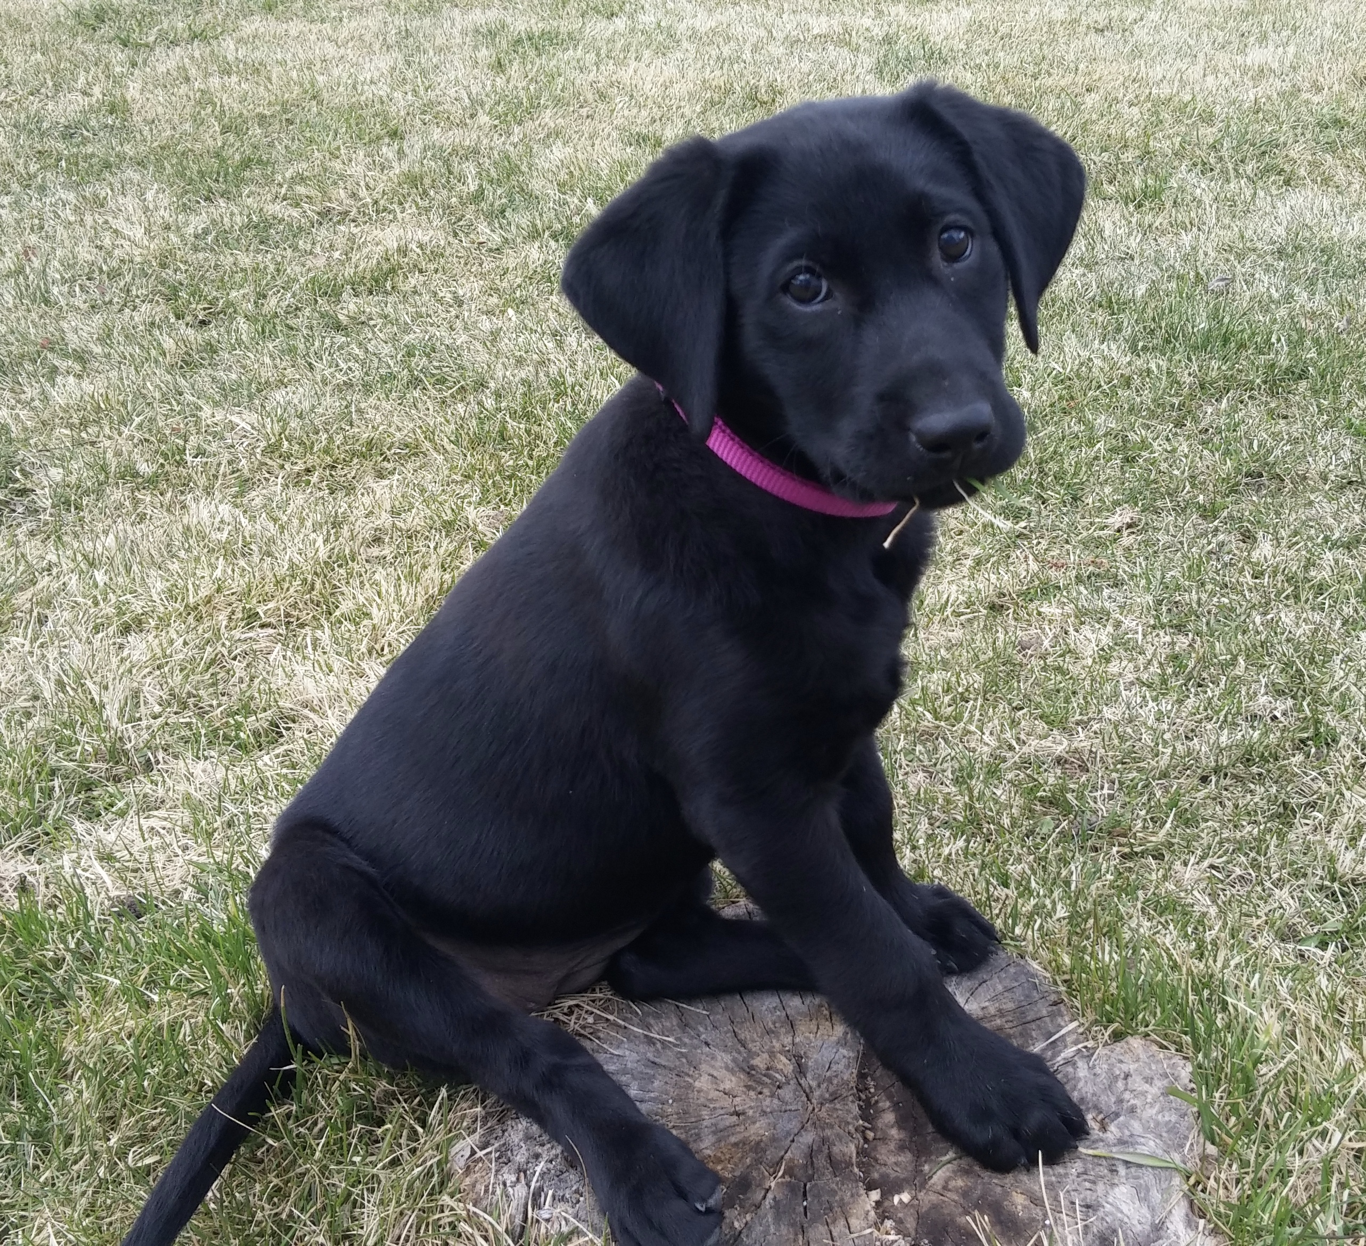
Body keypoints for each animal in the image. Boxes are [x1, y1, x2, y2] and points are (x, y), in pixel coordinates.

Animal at [125, 80, 1087, 1246]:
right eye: (803, 287)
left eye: (956, 241)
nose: (958, 431)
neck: (773, 500)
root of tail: (285, 1004)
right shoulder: (756, 798)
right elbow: (870, 954)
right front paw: (982, 1084)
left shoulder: (837, 726)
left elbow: (871, 851)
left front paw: (921, 916)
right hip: (320, 905)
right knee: (528, 1048)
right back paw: (642, 1170)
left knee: (651, 963)